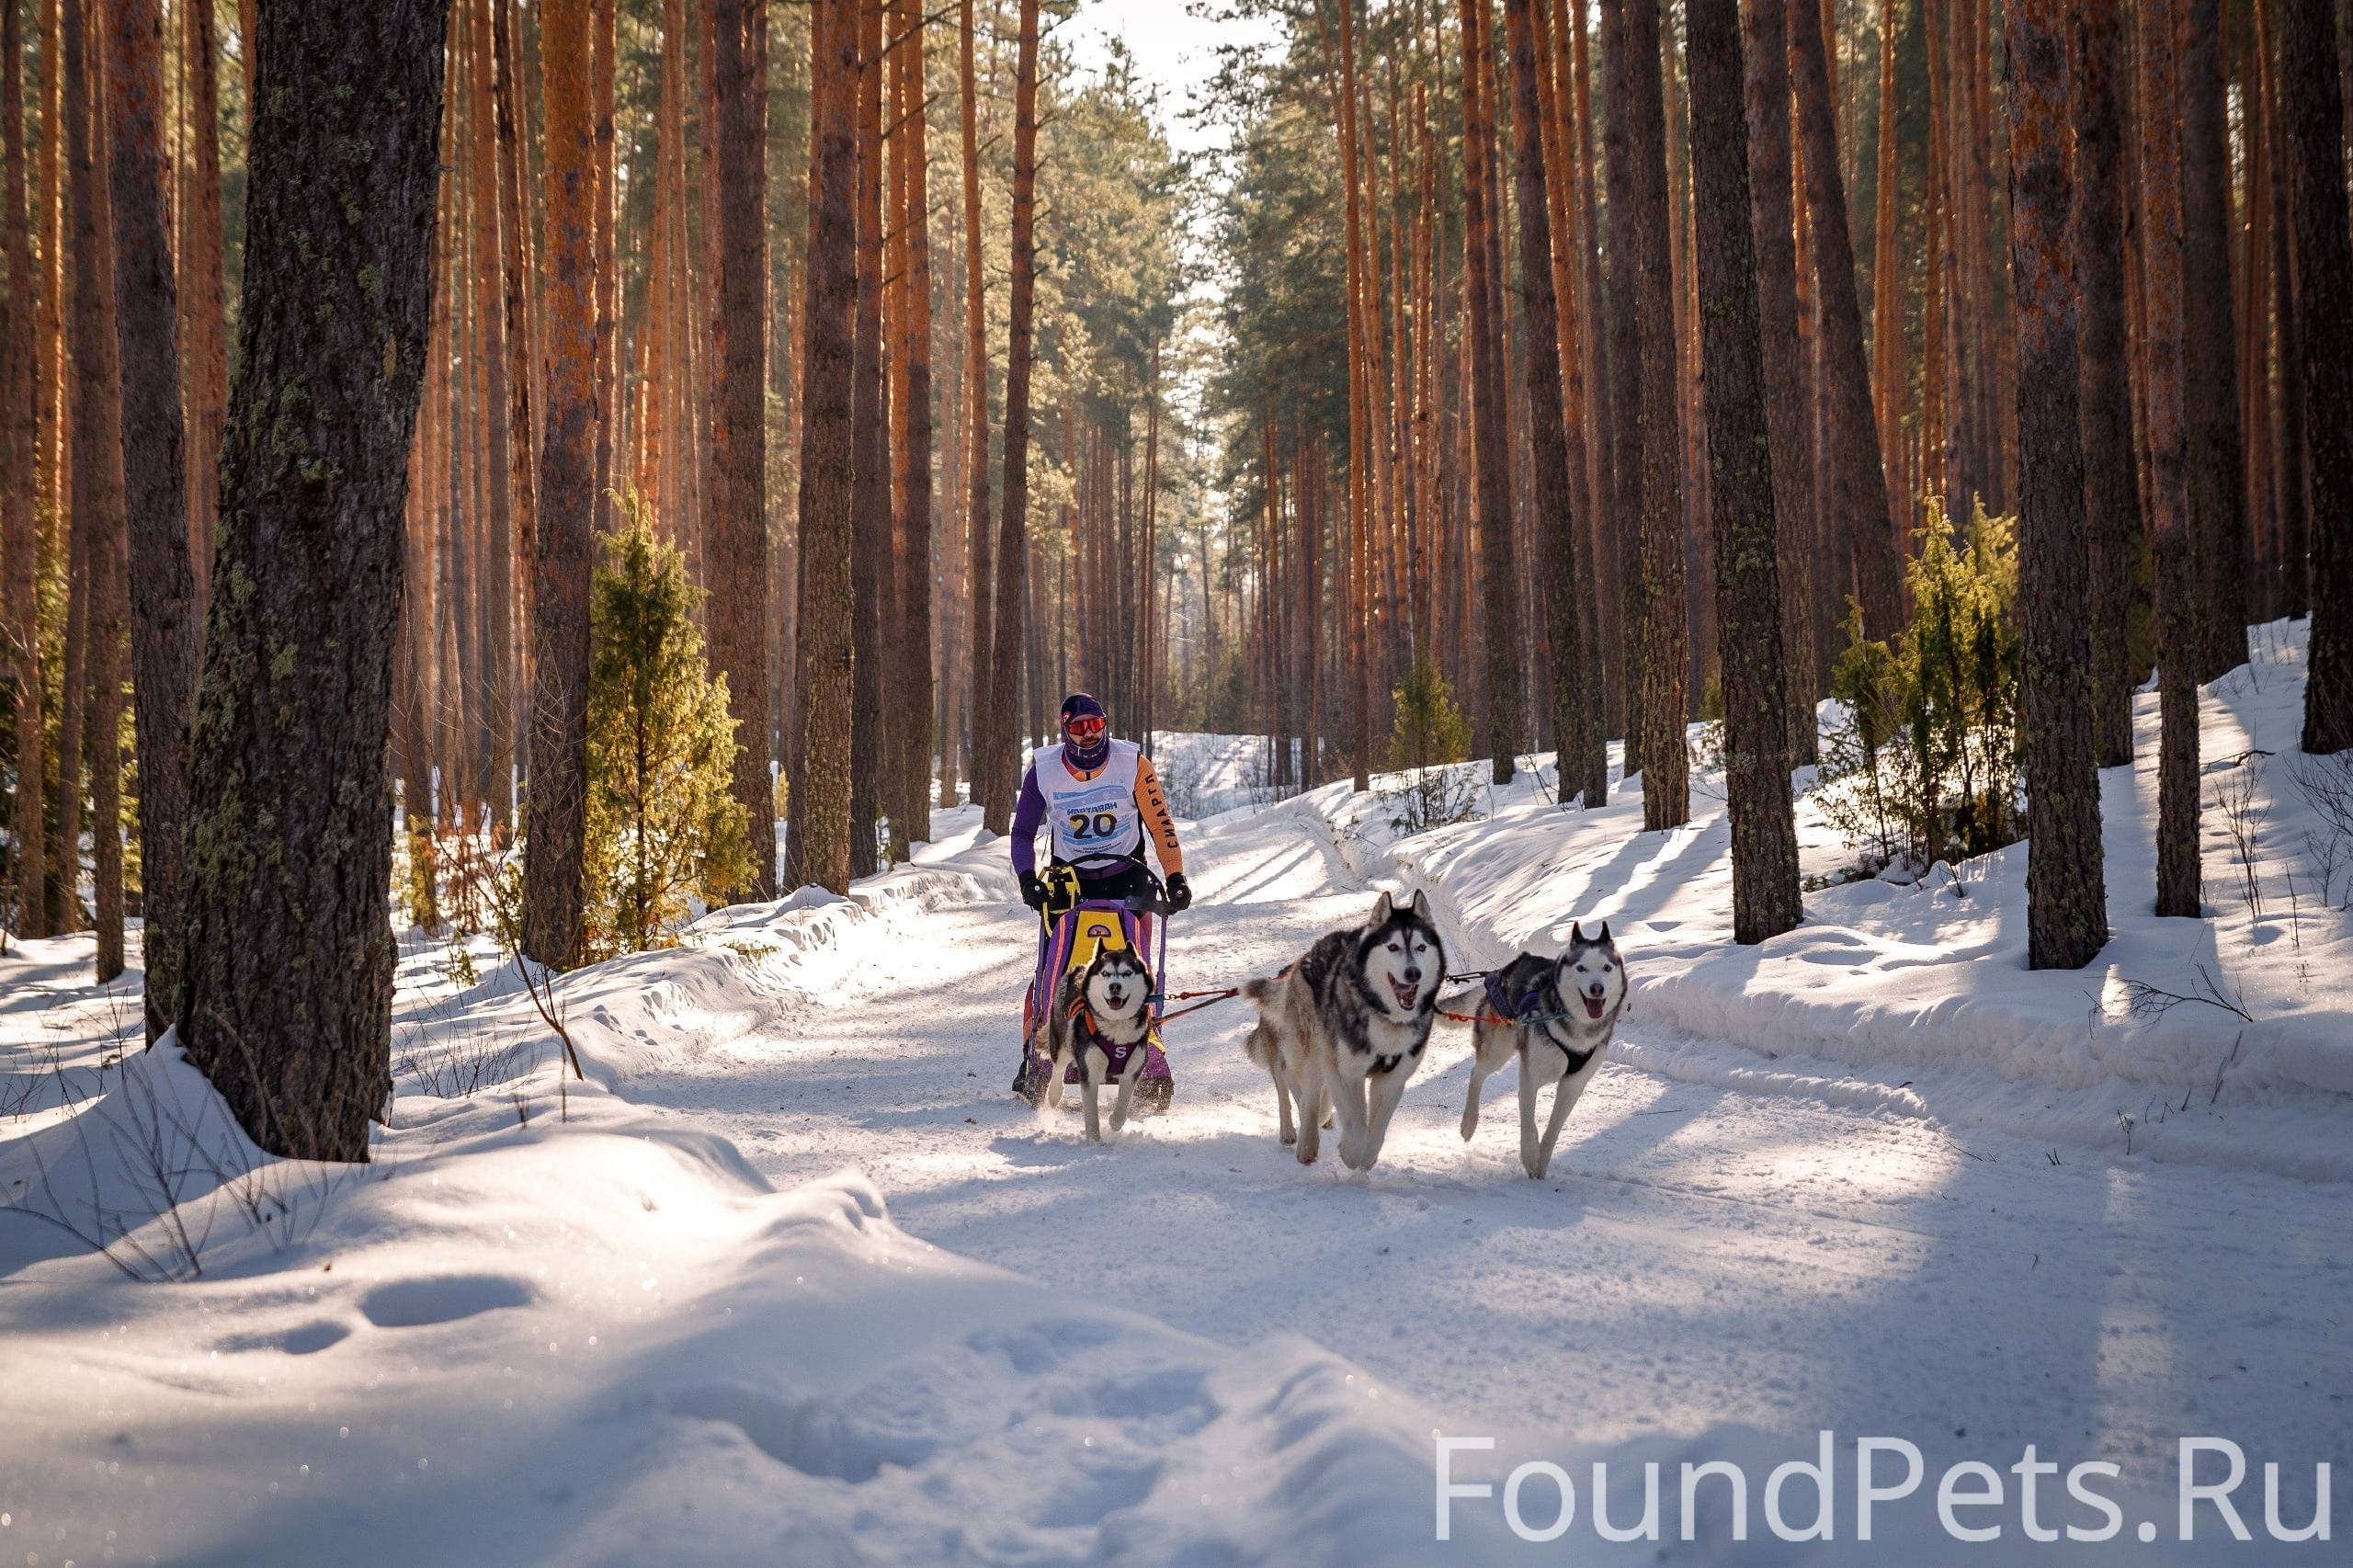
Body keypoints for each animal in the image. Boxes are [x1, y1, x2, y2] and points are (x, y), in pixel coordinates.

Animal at [1049, 941, 1157, 1134]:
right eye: (1105, 973)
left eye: (1127, 972)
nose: (1115, 986)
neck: (1116, 1028)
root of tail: (1080, 967)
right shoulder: (1089, 1073)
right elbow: (1092, 1116)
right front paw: (1094, 1139)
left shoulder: (1132, 1071)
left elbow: (1123, 1103)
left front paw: (1115, 1121)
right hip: (1062, 1043)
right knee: (1059, 1068)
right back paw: (1054, 1093)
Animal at [1242, 885, 1439, 1167]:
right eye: (1392, 947)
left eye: (1421, 947)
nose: (1414, 973)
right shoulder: (1341, 1068)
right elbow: (1340, 1113)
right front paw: (1349, 1149)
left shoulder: (1391, 1078)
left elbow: (1374, 1128)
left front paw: (1364, 1156)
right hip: (1304, 1054)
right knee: (1295, 1095)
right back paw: (1300, 1137)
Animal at [1459, 918, 1628, 1172]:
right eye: (1581, 968)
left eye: (1607, 968)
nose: (1597, 989)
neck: (1576, 1029)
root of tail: (1508, 967)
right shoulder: (1531, 1076)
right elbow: (1529, 1122)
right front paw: (1530, 1155)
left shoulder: (1573, 1084)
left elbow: (1553, 1129)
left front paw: (1541, 1164)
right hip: (1498, 1050)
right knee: (1476, 1073)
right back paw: (1469, 1122)